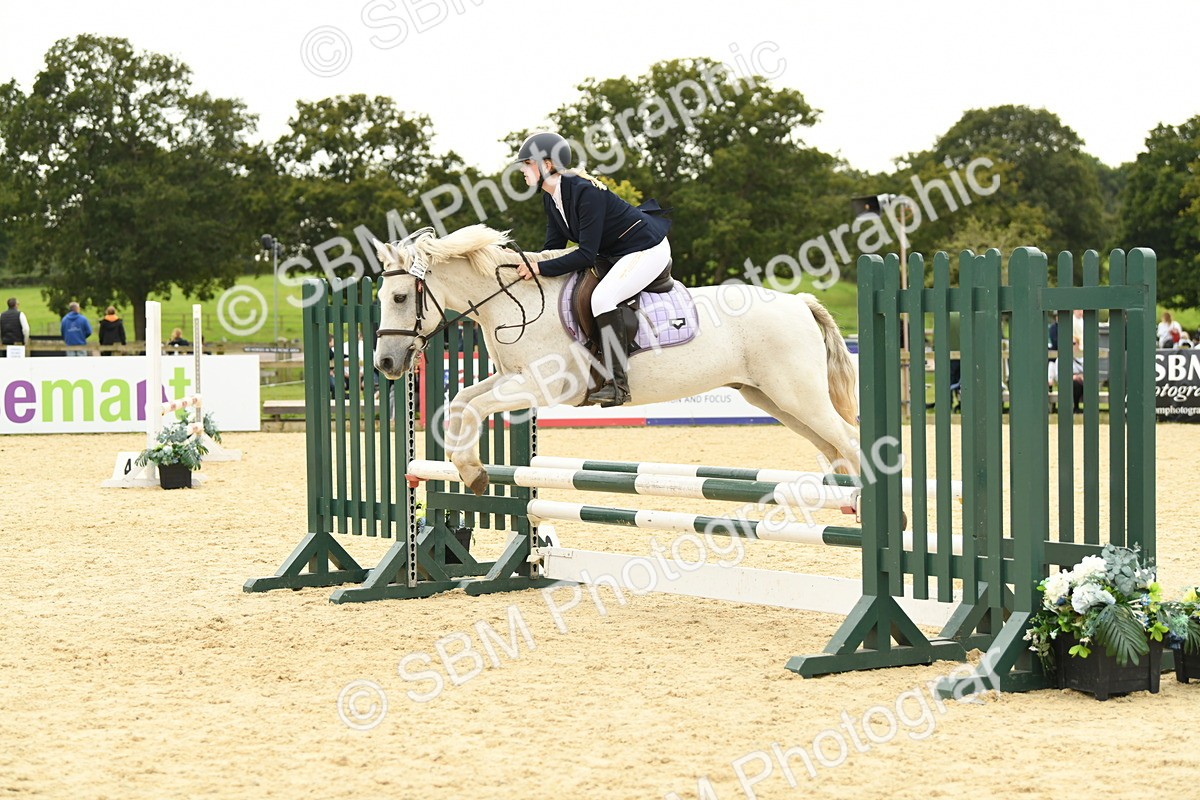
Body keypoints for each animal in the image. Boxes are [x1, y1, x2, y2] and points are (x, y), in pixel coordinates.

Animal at [372, 225, 860, 496]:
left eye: (399, 298)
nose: (385, 364)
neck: (516, 302)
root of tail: (799, 303)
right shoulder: (513, 378)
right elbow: (461, 402)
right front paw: (467, 469)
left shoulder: (543, 387)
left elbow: (473, 406)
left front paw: (472, 471)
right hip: (773, 400)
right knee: (833, 447)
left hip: (797, 396)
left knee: (849, 440)